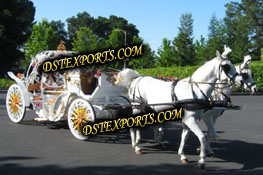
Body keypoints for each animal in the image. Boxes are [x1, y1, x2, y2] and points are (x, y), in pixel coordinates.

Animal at [116, 48, 244, 167]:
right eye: (226, 66)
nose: (241, 81)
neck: (194, 89)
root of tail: (137, 78)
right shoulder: (192, 119)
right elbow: (202, 137)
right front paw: (201, 160)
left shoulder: (189, 120)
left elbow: (185, 137)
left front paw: (183, 155)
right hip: (137, 106)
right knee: (133, 124)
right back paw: (136, 146)